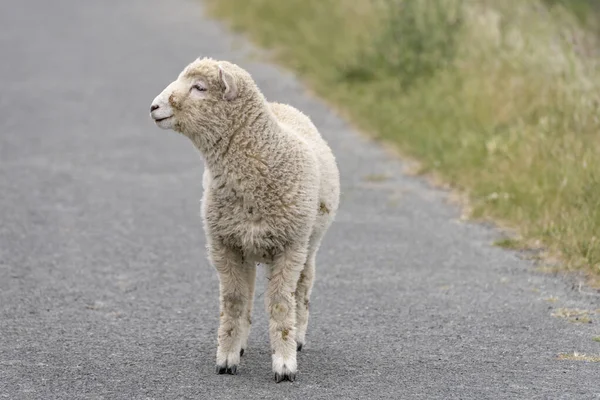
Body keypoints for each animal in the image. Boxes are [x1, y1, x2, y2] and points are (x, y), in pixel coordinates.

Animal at [148, 57, 340, 382]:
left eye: (199, 87)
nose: (154, 107)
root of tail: (280, 105)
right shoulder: (224, 245)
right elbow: (234, 301)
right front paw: (226, 357)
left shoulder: (289, 247)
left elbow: (280, 303)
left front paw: (284, 364)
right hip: (246, 246)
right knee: (248, 294)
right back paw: (240, 345)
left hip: (309, 241)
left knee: (302, 288)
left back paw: (298, 337)